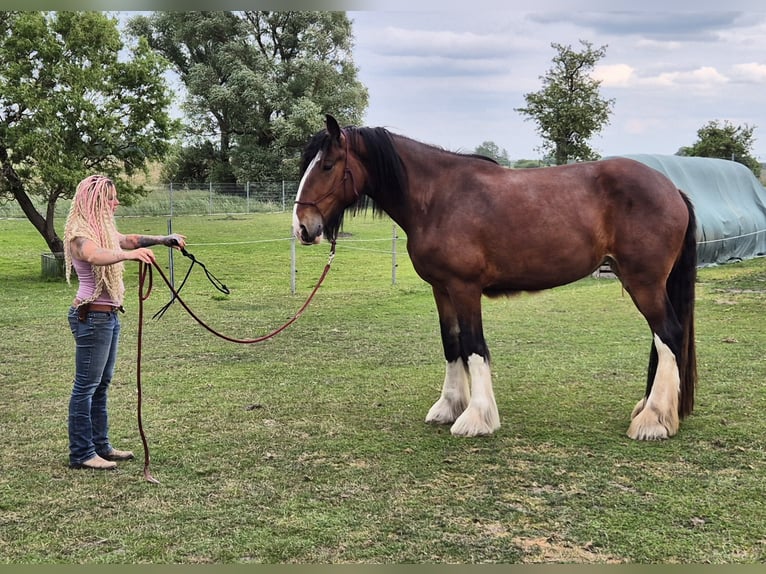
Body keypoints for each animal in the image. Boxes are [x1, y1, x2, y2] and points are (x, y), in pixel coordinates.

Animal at [293, 114, 697, 440]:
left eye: (327, 165)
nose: (302, 228)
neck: (437, 199)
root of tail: (673, 189)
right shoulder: (442, 290)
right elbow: (452, 344)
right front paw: (448, 406)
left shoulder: (464, 288)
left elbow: (474, 346)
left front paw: (476, 417)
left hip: (643, 283)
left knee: (668, 335)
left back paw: (653, 420)